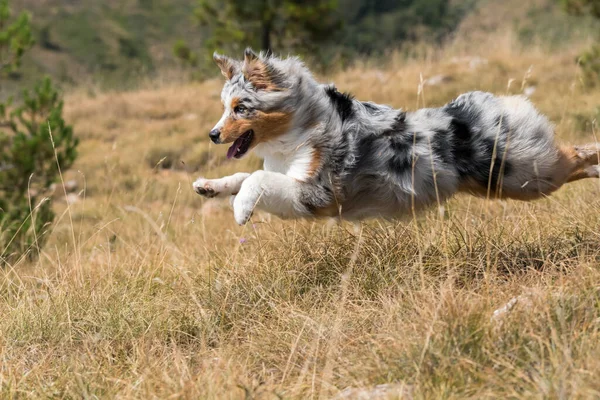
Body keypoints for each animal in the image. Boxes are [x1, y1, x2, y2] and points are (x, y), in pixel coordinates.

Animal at [195, 47, 596, 225]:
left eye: (240, 108)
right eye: (223, 106)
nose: (213, 134)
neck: (298, 128)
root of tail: (488, 104)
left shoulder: (316, 193)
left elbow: (256, 179)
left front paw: (241, 210)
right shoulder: (290, 183)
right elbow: (244, 174)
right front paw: (210, 186)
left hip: (525, 175)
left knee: (577, 153)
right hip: (513, 181)